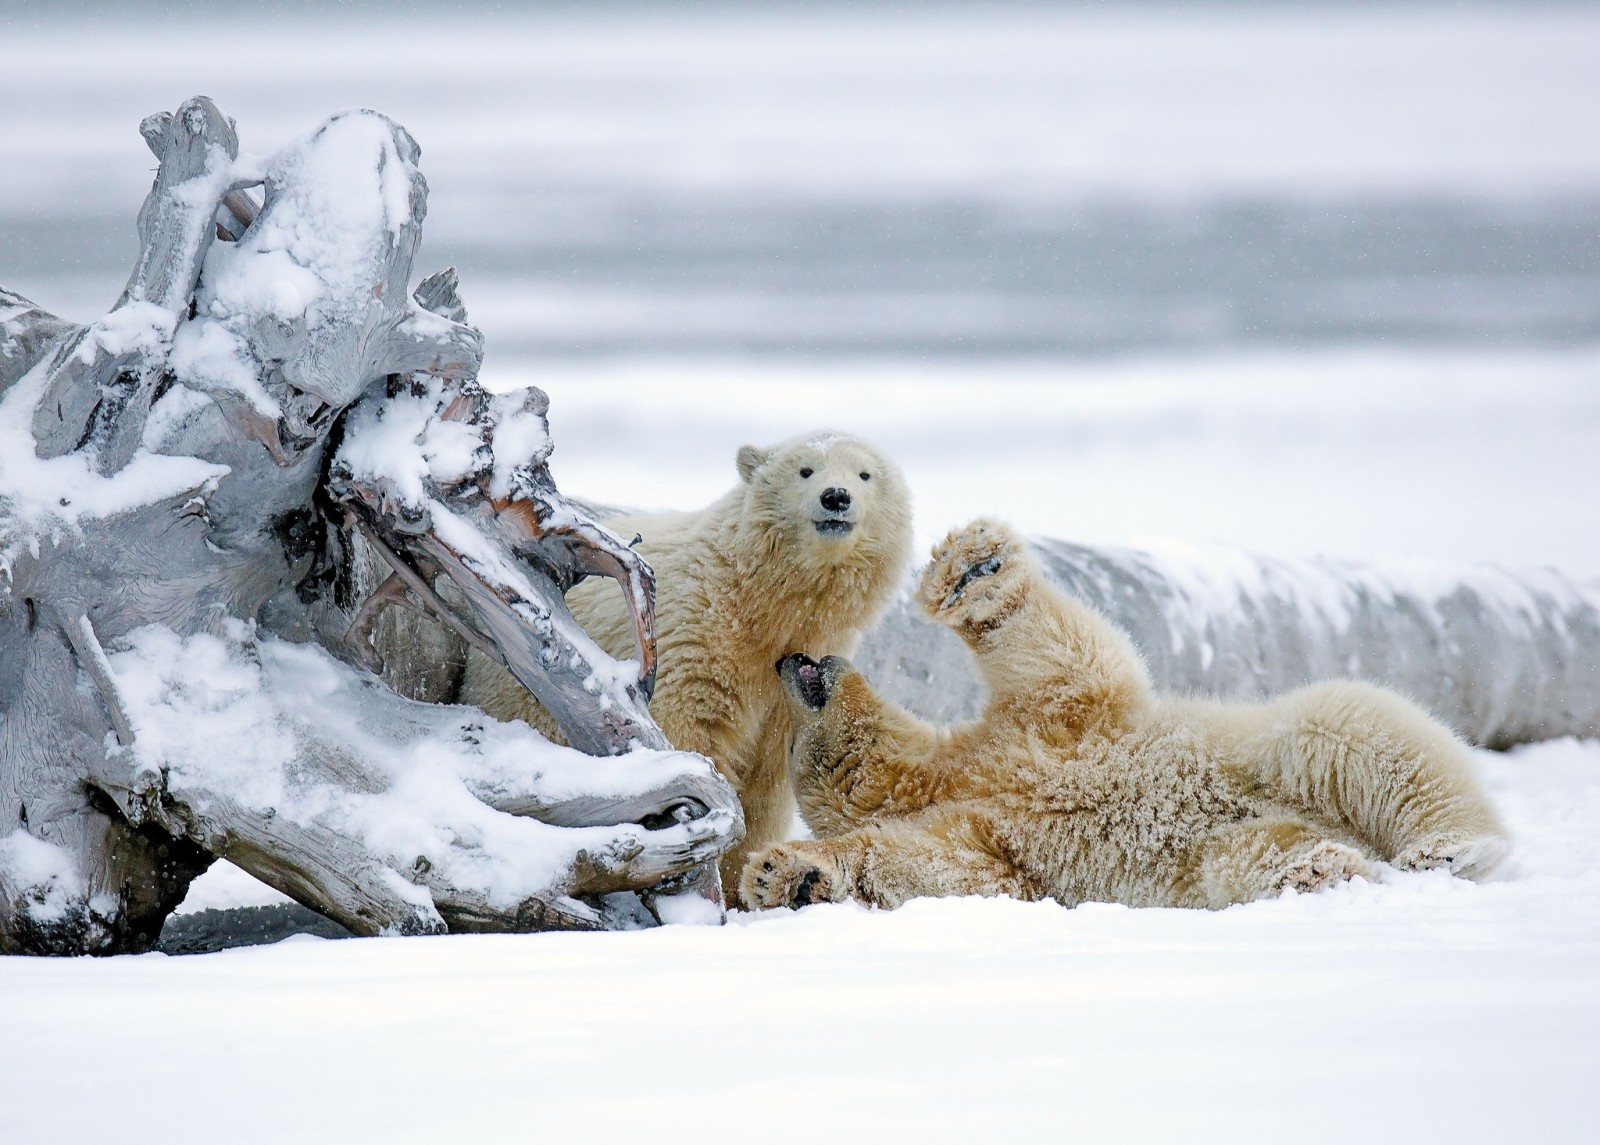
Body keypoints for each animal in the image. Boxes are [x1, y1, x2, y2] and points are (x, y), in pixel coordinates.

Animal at [464, 434, 915, 889]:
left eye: (864, 474)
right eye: (805, 470)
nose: (836, 496)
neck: (755, 602)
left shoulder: (783, 694)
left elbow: (767, 782)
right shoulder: (692, 635)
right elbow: (690, 735)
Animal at [742, 521, 1504, 914]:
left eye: (789, 736)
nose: (794, 658)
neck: (937, 777)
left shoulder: (1039, 729)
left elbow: (1066, 661)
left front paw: (973, 569)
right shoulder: (982, 830)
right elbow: (957, 871)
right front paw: (788, 875)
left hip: (1271, 752)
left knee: (1350, 728)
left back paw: (1448, 846)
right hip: (1207, 859)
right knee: (1246, 857)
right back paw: (1322, 868)